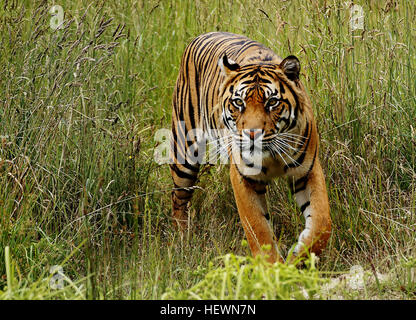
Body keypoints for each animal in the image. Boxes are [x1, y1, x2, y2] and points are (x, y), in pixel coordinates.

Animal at [169, 31, 332, 262]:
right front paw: (272, 267)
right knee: (179, 198)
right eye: (239, 103)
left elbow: (322, 222)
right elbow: (258, 228)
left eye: (272, 102)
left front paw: (299, 256)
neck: (272, 155)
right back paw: (182, 240)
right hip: (185, 153)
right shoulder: (243, 177)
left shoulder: (307, 171)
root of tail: (201, 36)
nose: (252, 134)